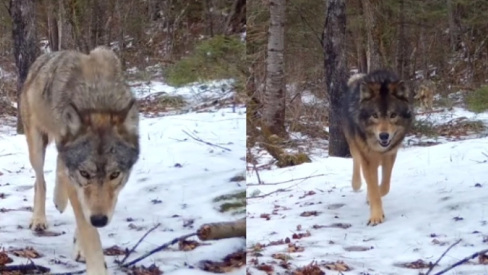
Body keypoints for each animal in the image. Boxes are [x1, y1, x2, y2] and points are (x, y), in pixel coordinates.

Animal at [19, 46, 139, 274]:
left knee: (59, 166)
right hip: (36, 148)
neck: (98, 98)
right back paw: (39, 219)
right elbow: (88, 231)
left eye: (114, 174)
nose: (100, 220)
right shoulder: (78, 184)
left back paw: (59, 200)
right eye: (85, 173)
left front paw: (80, 249)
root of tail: (43, 57)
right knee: (40, 181)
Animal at [342, 69, 414, 226]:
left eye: (393, 115)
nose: (384, 136)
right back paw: (356, 184)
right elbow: (374, 189)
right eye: (375, 115)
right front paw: (376, 216)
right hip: (354, 143)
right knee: (356, 160)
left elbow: (384, 187)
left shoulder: (390, 155)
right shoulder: (368, 159)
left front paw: (370, 199)